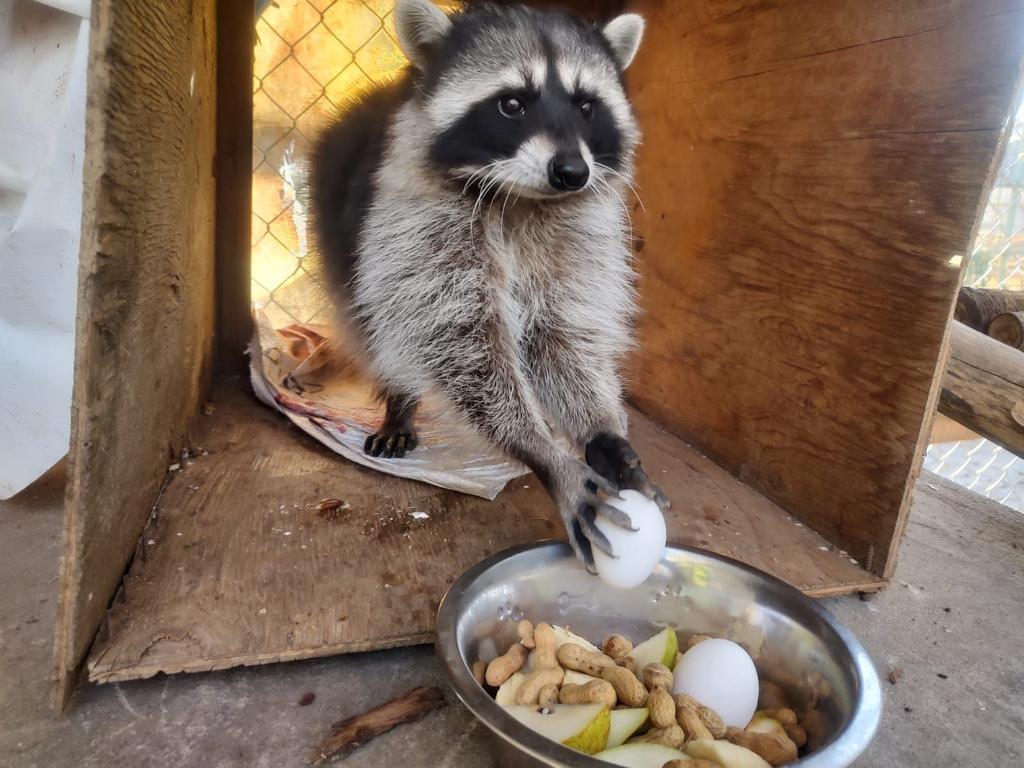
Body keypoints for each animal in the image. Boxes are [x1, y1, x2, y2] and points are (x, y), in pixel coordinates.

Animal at [307, 0, 667, 573]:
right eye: (513, 104)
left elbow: (564, 336)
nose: (573, 172)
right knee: (378, 325)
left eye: (587, 106)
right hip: (344, 237)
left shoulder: (576, 239)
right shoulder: (416, 223)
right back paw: (399, 398)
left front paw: (601, 430)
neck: (523, 197)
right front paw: (542, 451)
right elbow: (458, 339)